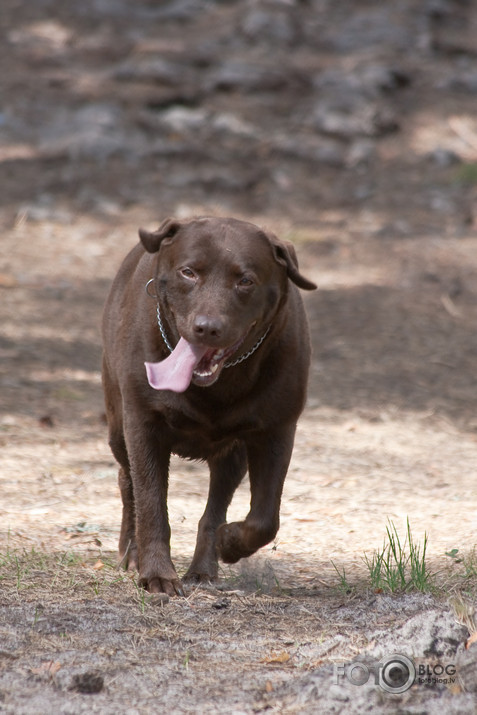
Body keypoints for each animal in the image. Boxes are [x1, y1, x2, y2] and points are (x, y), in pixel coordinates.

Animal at [101, 215, 316, 596]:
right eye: (188, 272)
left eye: (245, 281)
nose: (207, 328)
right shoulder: (143, 423)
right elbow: (151, 504)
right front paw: (157, 574)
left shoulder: (277, 430)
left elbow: (265, 517)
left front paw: (229, 542)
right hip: (117, 428)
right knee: (128, 484)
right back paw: (132, 553)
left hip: (232, 456)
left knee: (215, 507)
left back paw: (204, 568)